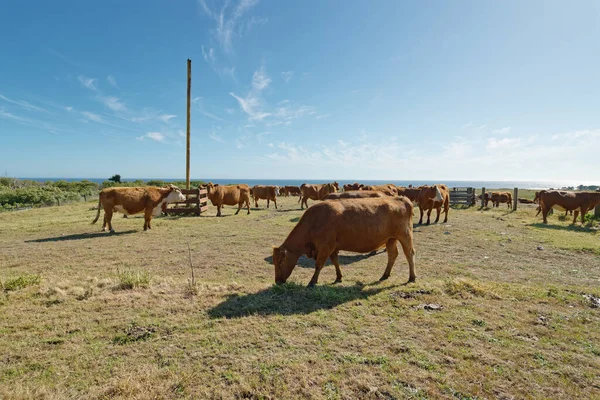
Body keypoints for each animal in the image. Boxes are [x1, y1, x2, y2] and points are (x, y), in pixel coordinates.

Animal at [274, 195, 418, 286]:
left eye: (280, 262)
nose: (277, 281)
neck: (314, 221)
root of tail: (402, 198)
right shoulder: (332, 247)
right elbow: (335, 262)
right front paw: (339, 277)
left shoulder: (325, 247)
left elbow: (319, 265)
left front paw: (312, 282)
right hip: (390, 239)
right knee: (392, 255)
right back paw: (385, 275)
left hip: (405, 236)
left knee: (409, 254)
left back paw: (412, 277)